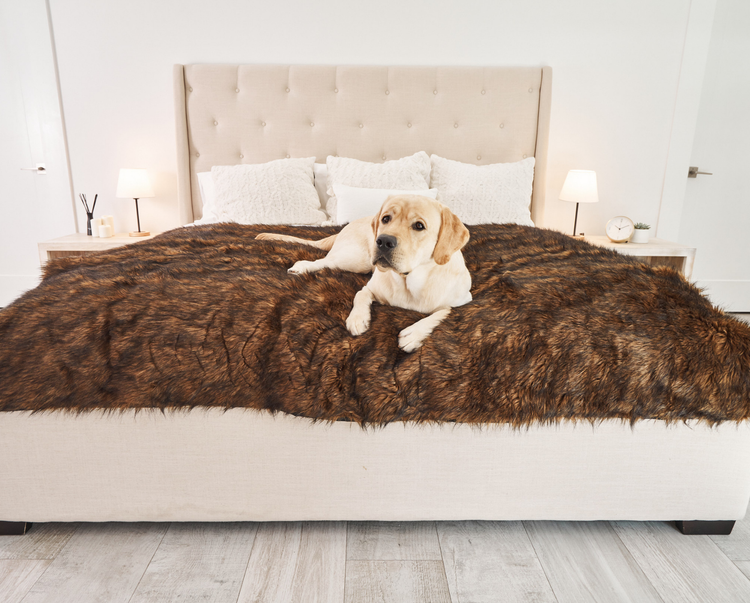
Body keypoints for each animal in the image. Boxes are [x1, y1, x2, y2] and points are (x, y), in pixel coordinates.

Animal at [258, 196, 470, 352]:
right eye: (386, 219)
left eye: (419, 226)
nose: (383, 241)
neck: (408, 281)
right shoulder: (370, 287)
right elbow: (360, 294)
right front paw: (358, 318)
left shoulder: (463, 300)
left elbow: (443, 312)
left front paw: (414, 333)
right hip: (354, 260)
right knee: (324, 261)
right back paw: (302, 266)